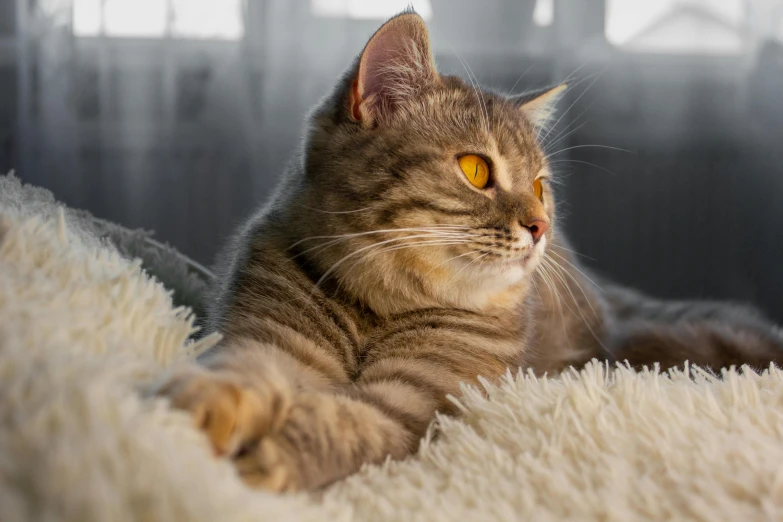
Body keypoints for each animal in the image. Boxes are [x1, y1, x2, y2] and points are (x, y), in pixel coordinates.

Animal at [153, 12, 783, 492]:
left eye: (540, 187)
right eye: (477, 170)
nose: (540, 226)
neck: (380, 307)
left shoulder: (413, 401)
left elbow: (344, 422)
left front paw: (269, 459)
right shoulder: (269, 340)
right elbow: (241, 370)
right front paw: (201, 407)